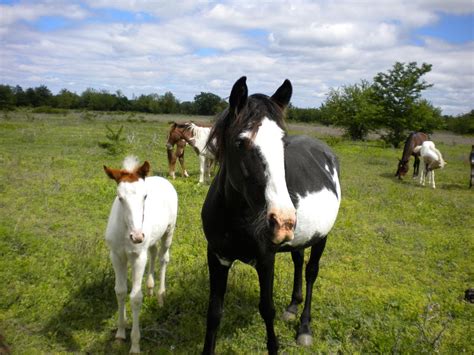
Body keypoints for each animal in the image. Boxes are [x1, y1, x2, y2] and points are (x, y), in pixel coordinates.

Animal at [103, 157, 178, 354]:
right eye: (120, 197)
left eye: (145, 196)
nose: (137, 236)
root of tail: (162, 179)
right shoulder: (116, 256)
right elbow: (120, 291)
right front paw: (120, 334)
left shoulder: (137, 257)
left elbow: (135, 298)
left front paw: (135, 345)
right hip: (150, 240)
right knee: (153, 253)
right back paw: (150, 287)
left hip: (168, 232)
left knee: (163, 258)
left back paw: (160, 296)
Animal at [200, 76, 340, 354]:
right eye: (240, 142)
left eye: (283, 145)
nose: (282, 221)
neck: (237, 218)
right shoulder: (217, 257)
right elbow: (214, 314)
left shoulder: (266, 259)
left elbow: (267, 309)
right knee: (298, 261)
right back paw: (293, 307)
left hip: (322, 237)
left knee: (311, 272)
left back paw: (304, 327)